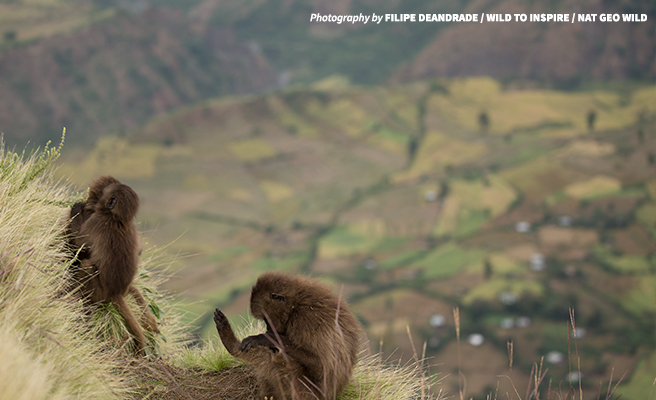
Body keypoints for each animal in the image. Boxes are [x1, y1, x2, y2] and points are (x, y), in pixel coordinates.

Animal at [64, 176, 160, 356]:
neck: (117, 219)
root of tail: (115, 293)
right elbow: (138, 251)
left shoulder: (95, 222)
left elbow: (79, 243)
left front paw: (76, 208)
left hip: (99, 290)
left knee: (86, 265)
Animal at [214, 272, 358, 400]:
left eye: (266, 318)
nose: (268, 328)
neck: (295, 304)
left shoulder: (307, 319)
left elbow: (320, 363)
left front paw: (264, 338)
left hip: (305, 393)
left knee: (279, 360)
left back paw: (231, 343)